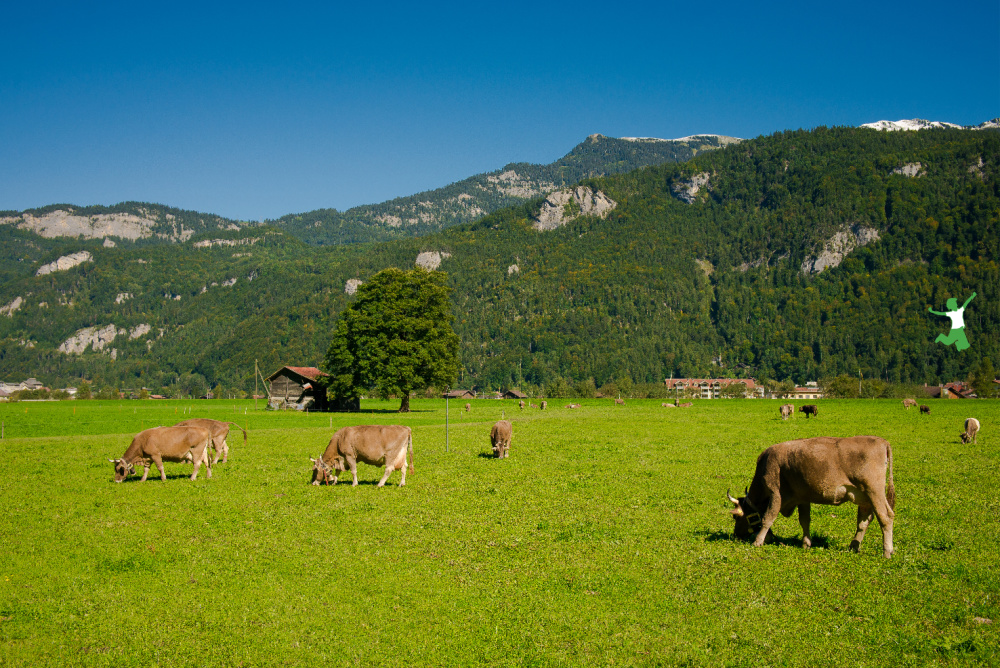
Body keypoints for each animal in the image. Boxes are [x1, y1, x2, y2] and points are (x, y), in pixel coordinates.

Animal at [728, 436, 900, 560]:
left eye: (736, 517)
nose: (736, 535)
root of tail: (882, 441)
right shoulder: (802, 498)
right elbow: (804, 521)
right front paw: (806, 543)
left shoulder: (776, 494)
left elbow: (767, 518)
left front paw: (757, 541)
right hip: (865, 498)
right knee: (863, 522)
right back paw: (853, 546)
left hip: (874, 492)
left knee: (886, 517)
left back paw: (887, 551)